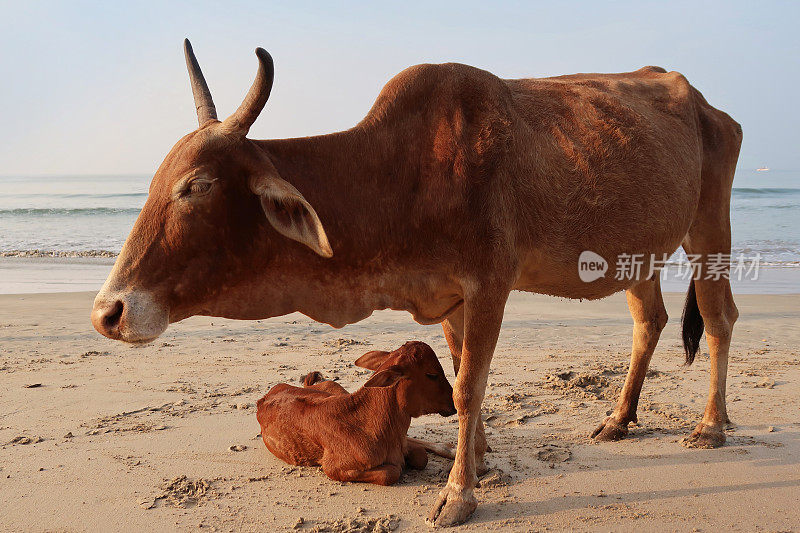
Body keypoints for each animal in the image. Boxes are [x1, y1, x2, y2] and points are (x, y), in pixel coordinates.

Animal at [256, 342, 456, 484]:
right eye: (432, 375)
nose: (454, 404)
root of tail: (263, 398)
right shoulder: (333, 468)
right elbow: (391, 472)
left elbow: (421, 456)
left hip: (335, 388)